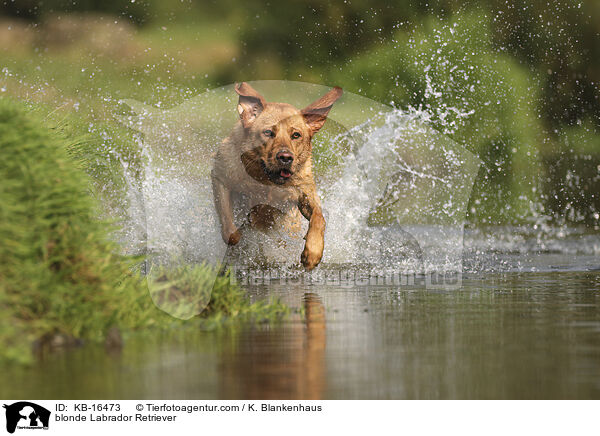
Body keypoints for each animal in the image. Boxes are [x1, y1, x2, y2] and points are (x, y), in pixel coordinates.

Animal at [211, 83, 342, 270]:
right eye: (268, 132)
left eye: (296, 135)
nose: (286, 157)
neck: (266, 182)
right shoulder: (220, 177)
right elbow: (229, 225)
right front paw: (239, 237)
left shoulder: (304, 193)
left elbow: (319, 218)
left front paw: (313, 252)